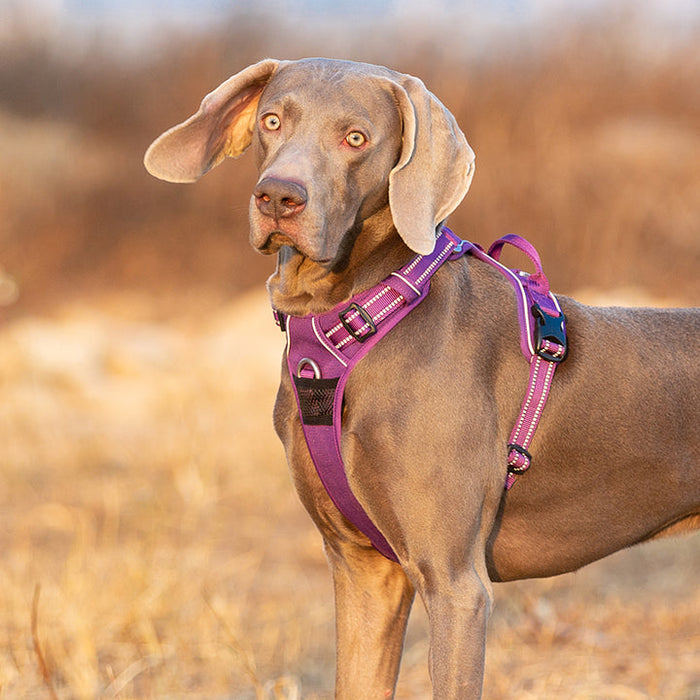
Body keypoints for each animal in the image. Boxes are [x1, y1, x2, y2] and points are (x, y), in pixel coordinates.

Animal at [144, 60, 700, 700]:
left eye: (355, 138)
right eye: (272, 120)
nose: (279, 195)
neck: (357, 320)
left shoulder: (455, 583)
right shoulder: (364, 570)